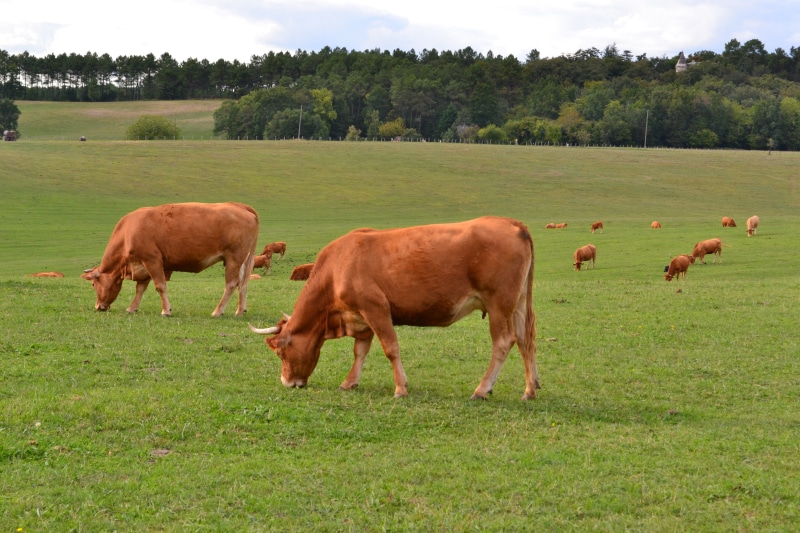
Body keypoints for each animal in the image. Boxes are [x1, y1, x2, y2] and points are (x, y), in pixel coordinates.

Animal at [82, 202, 259, 317]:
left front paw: (166, 310)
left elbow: (160, 286)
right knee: (243, 284)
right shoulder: (144, 266)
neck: (127, 232)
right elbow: (140, 289)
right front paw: (132, 308)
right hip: (243, 261)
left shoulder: (152, 260)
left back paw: (218, 311)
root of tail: (240, 206)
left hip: (234, 259)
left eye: (93, 284)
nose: (98, 307)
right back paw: (240, 310)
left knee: (231, 284)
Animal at [249, 216, 538, 400]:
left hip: (499, 304)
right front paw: (349, 382)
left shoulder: (376, 308)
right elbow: (360, 351)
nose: (287, 382)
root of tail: (512, 223)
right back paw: (530, 390)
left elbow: (390, 348)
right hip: (519, 303)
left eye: (281, 354)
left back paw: (482, 389)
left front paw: (400, 388)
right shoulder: (361, 317)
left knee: (504, 342)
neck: (336, 268)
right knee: (526, 341)